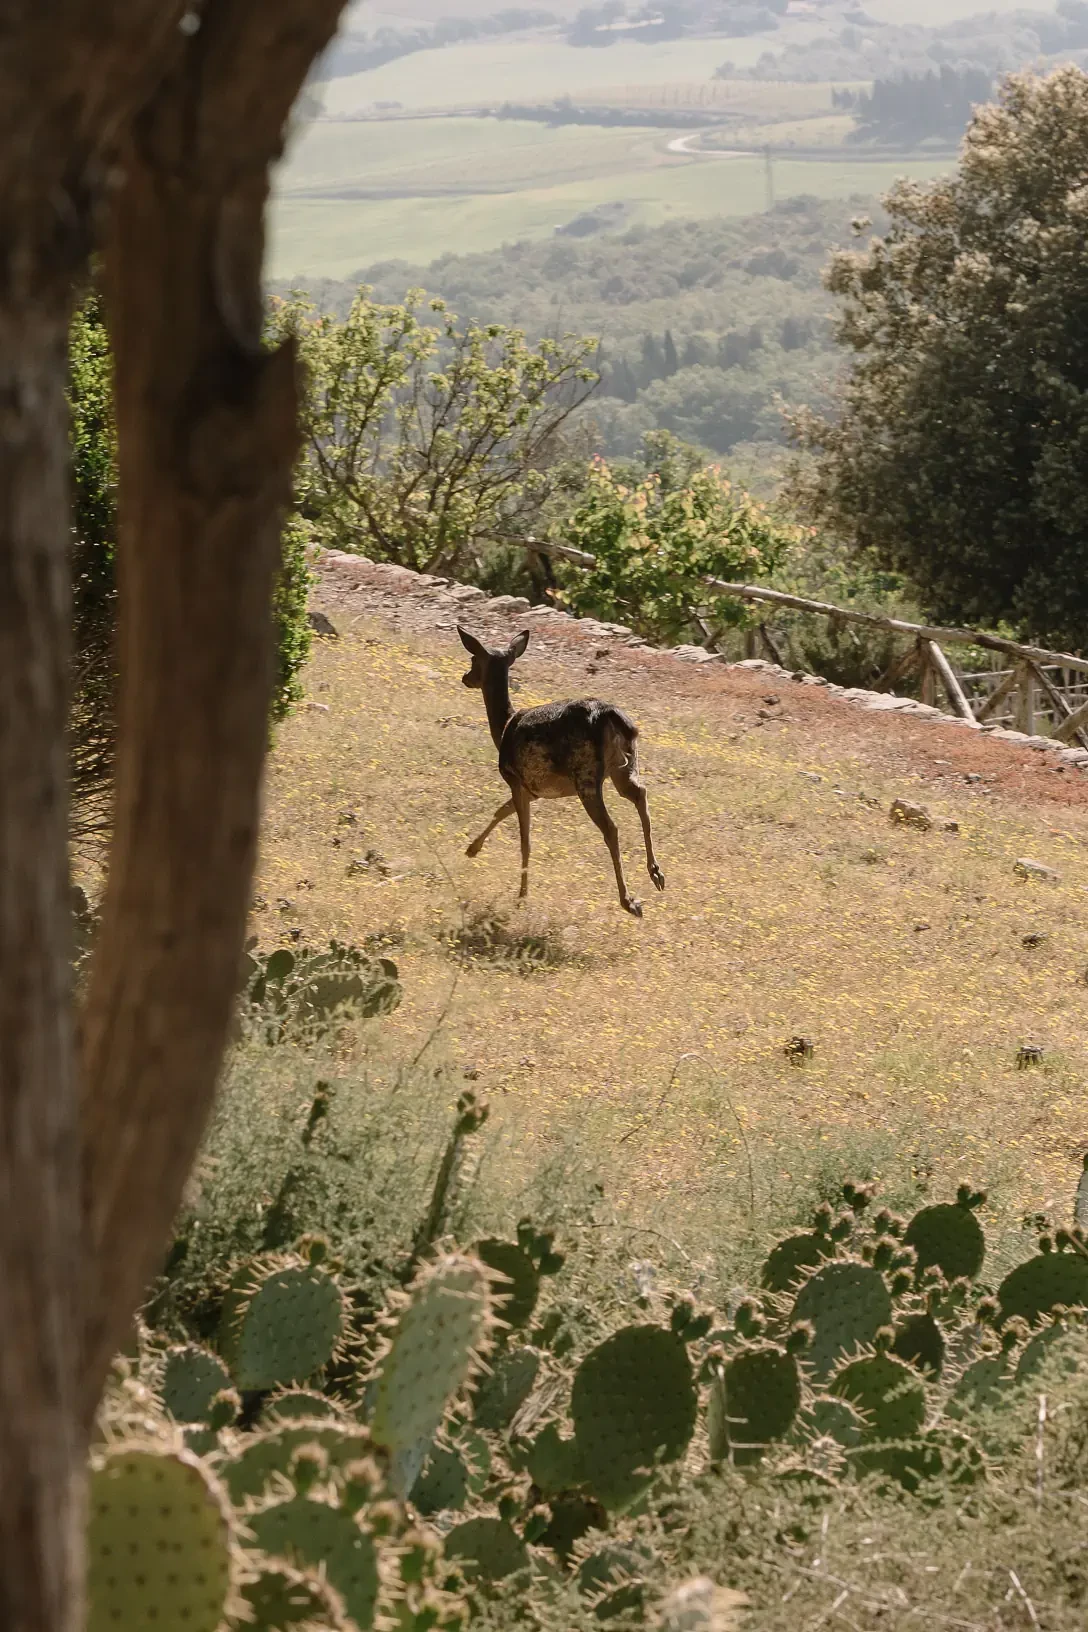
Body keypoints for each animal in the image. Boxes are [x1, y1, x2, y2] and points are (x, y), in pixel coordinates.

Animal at [457, 624, 665, 917]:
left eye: (473, 659)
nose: (465, 678)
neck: (503, 728)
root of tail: (611, 716)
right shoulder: (533, 789)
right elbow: (501, 811)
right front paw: (472, 849)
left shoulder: (514, 778)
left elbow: (525, 840)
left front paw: (521, 896)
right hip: (625, 767)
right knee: (640, 795)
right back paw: (656, 873)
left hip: (586, 775)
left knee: (611, 828)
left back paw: (629, 901)